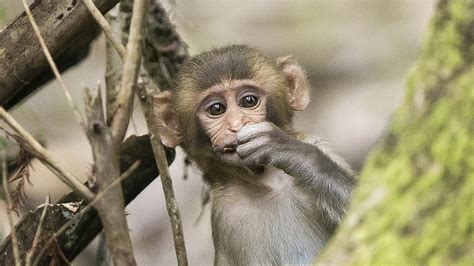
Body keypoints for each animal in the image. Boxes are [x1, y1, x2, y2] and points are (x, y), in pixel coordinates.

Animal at [156, 44, 356, 264]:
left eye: (249, 101)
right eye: (216, 108)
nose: (237, 126)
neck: (270, 183)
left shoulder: (320, 146)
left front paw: (290, 151)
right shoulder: (229, 216)